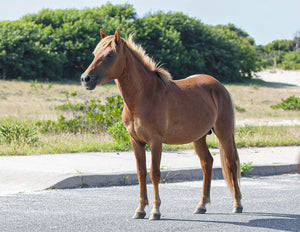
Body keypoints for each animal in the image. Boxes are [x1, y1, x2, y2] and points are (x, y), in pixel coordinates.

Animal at [81, 28, 243, 219]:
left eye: (110, 55)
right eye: (95, 54)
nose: (85, 79)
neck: (144, 96)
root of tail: (220, 87)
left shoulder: (155, 141)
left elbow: (155, 174)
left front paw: (155, 211)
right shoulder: (136, 141)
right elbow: (141, 173)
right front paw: (140, 209)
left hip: (224, 133)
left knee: (231, 163)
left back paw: (237, 204)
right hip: (198, 137)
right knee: (207, 163)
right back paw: (201, 205)